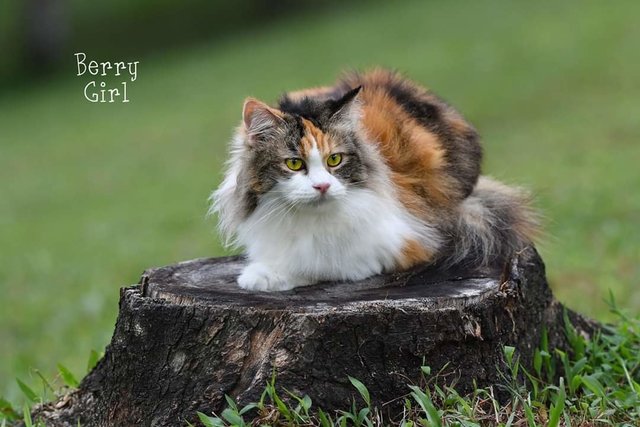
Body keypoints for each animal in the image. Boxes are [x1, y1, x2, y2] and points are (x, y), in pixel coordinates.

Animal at [211, 68, 540, 292]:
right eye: (294, 163)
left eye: (334, 160)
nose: (322, 186)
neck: (309, 220)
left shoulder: (408, 242)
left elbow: (322, 264)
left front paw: (262, 276)